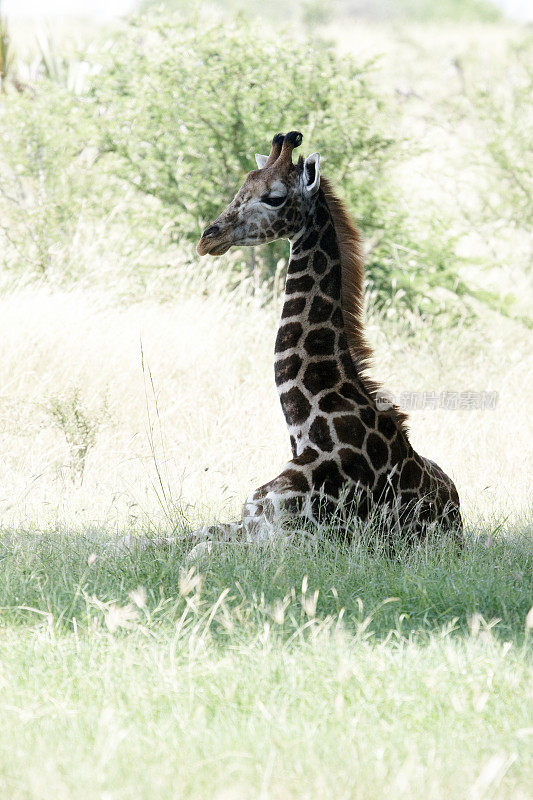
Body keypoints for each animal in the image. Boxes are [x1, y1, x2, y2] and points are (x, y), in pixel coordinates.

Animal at [195, 133, 462, 544]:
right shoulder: (249, 519)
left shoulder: (295, 538)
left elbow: (197, 550)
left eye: (274, 197)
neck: (309, 431)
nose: (208, 239)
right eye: (242, 187)